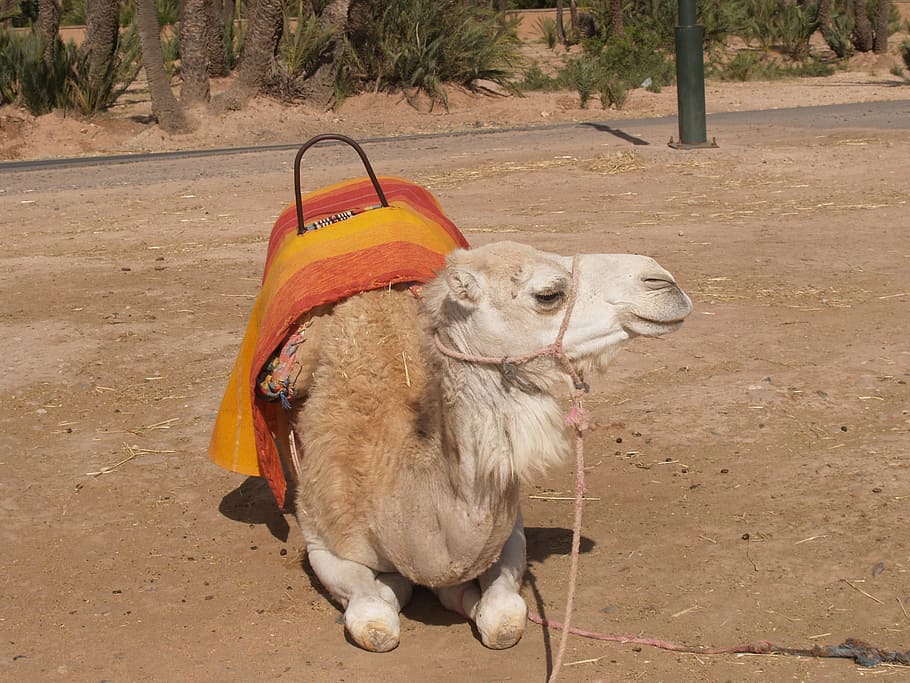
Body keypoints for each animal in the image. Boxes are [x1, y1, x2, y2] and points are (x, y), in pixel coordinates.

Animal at [286, 240, 692, 652]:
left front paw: (466, 599)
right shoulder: (322, 540)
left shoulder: (509, 532)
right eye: (549, 295)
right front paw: (395, 589)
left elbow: (504, 621)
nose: (664, 282)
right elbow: (377, 623)